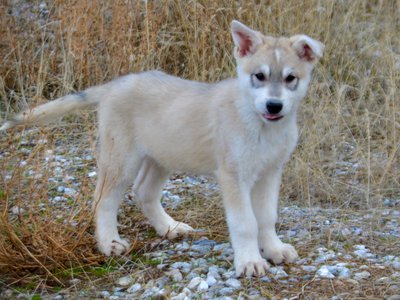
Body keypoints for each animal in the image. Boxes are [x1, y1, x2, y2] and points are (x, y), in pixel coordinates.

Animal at [0, 21, 324, 276]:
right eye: (259, 76)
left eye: (290, 78)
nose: (274, 105)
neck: (261, 125)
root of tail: (115, 85)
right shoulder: (233, 176)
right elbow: (245, 222)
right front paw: (249, 262)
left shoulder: (270, 173)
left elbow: (266, 217)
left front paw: (274, 249)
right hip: (120, 160)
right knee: (103, 200)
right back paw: (109, 243)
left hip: (160, 157)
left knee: (144, 192)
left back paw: (169, 227)